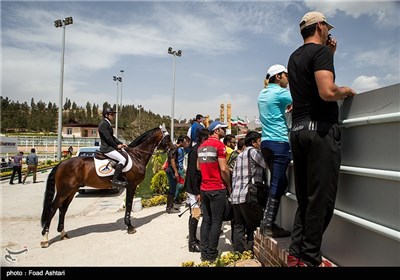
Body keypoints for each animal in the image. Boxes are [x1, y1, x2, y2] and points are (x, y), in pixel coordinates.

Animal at [39, 124, 175, 247]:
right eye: (168, 137)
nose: (173, 149)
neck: (137, 156)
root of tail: (60, 164)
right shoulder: (131, 185)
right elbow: (129, 204)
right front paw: (130, 227)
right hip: (64, 191)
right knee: (53, 208)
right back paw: (45, 239)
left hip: (71, 191)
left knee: (63, 209)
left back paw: (63, 233)